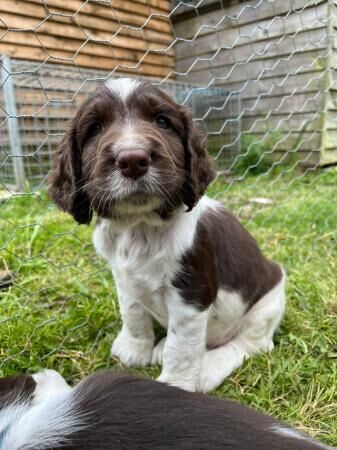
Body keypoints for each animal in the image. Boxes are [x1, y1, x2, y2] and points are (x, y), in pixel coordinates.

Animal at [50, 79, 284, 392]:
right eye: (95, 128)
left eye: (162, 122)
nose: (132, 159)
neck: (140, 227)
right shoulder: (124, 278)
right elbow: (133, 313)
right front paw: (135, 349)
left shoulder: (191, 295)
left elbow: (181, 347)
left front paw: (175, 385)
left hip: (268, 301)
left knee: (250, 344)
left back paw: (211, 365)